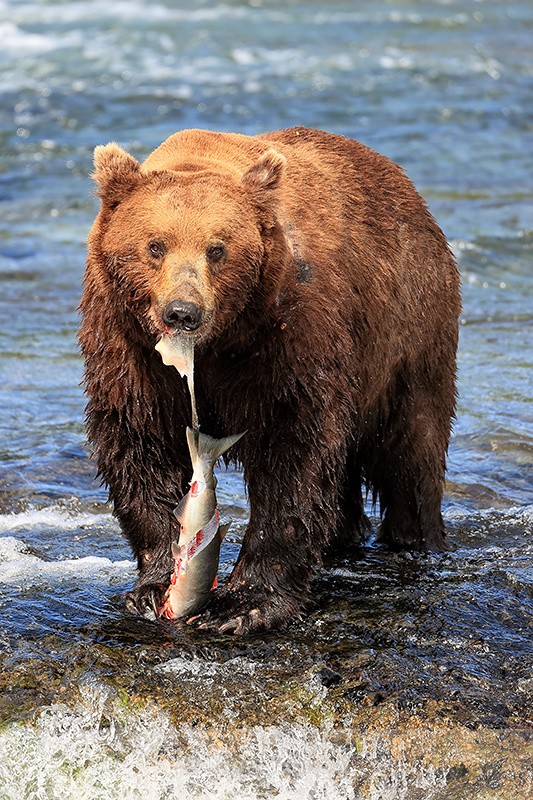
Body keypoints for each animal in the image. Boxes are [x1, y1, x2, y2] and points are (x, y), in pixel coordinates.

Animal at [80, 127, 461, 634]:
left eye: (217, 248)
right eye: (155, 245)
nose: (182, 312)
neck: (217, 347)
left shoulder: (289, 334)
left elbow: (294, 451)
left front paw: (246, 605)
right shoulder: (128, 347)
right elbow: (138, 441)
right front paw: (152, 587)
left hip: (408, 334)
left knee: (411, 450)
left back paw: (415, 540)